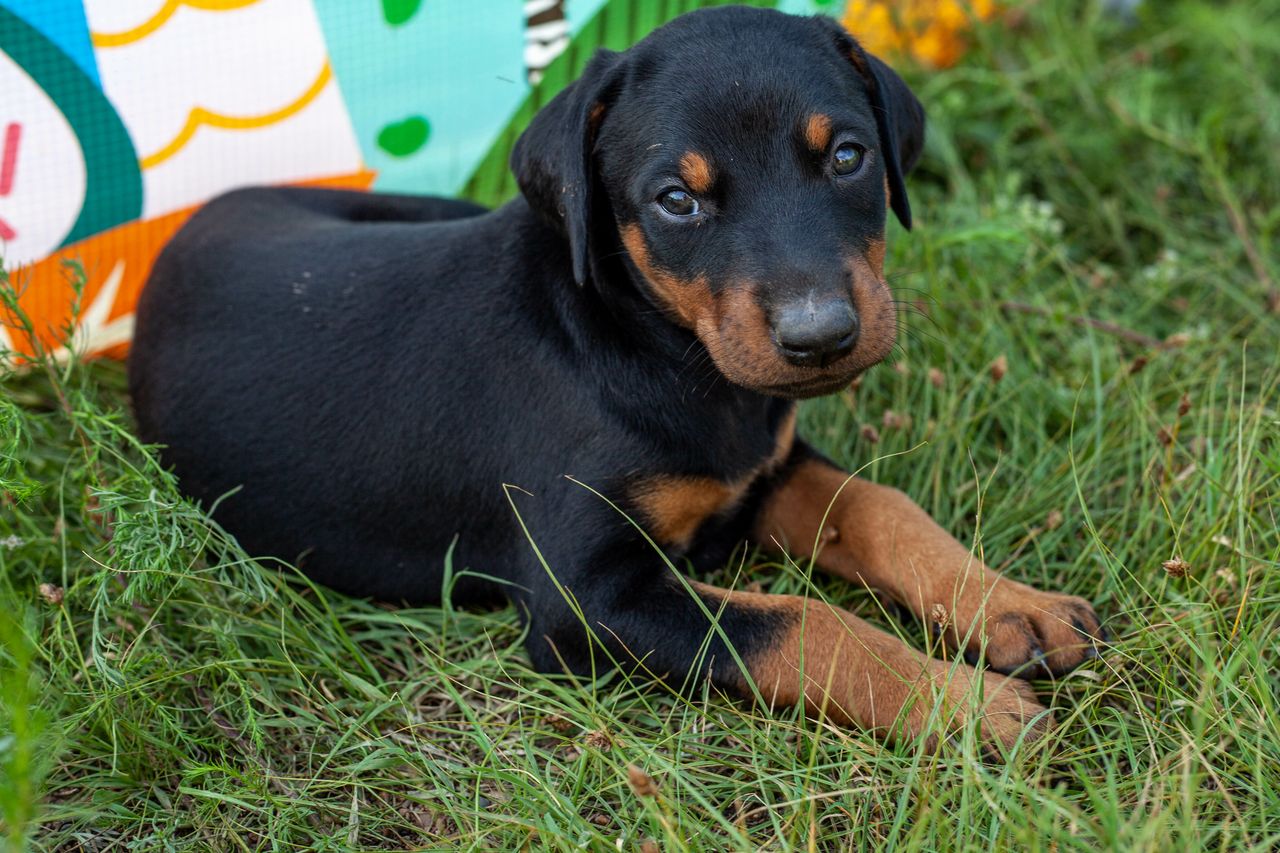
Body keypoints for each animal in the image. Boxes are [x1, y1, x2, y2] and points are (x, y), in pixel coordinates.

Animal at [129, 8, 1100, 753]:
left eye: (848, 157)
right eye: (677, 200)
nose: (821, 335)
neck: (664, 354)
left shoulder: (763, 470)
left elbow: (880, 507)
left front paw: (1014, 607)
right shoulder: (585, 598)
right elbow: (798, 620)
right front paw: (965, 704)